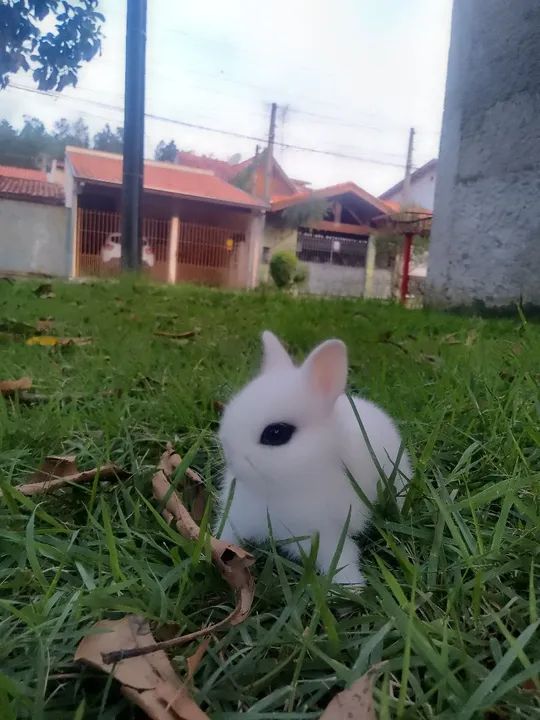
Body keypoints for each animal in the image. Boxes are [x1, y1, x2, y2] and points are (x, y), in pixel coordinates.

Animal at [216, 331, 411, 586]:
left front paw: (352, 587)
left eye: (276, 433)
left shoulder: (326, 533)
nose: (229, 455)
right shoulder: (239, 517)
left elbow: (341, 558)